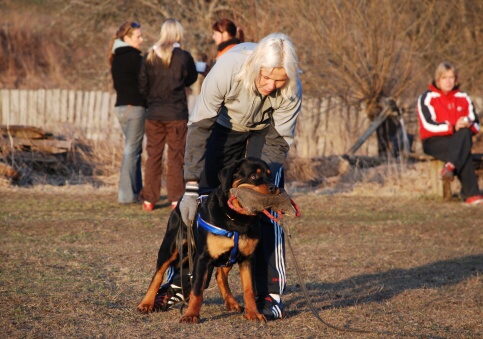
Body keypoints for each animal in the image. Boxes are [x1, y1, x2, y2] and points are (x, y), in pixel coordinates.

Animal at [138, 159, 286, 324]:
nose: (274, 188)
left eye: (270, 176)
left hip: (227, 256)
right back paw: (146, 303)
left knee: (220, 275)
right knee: (158, 275)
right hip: (171, 247)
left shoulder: (247, 258)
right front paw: (191, 315)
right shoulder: (203, 258)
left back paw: (231, 302)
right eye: (254, 175)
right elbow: (197, 290)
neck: (236, 218)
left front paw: (253, 313)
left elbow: (249, 289)